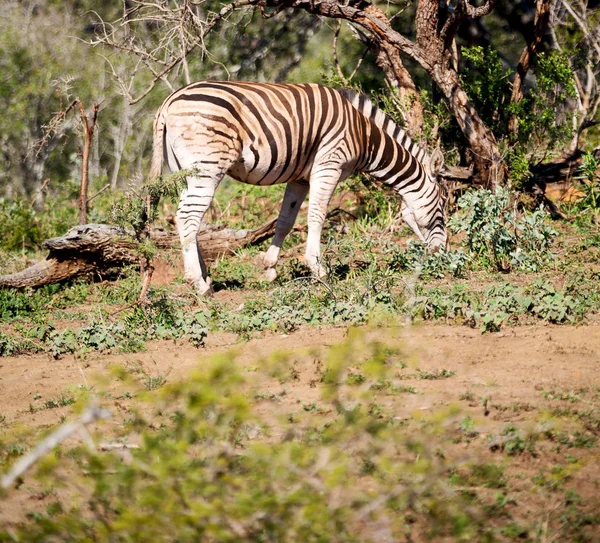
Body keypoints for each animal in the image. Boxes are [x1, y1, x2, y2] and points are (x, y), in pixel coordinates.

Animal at [152, 81, 448, 296]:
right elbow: (317, 216)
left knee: (184, 217)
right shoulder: (328, 165)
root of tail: (169, 100)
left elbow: (286, 221)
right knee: (188, 218)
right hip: (208, 167)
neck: (364, 136)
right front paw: (318, 269)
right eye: (442, 207)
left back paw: (206, 277)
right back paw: (198, 283)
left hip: (184, 172)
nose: (441, 253)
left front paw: (269, 268)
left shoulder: (300, 178)